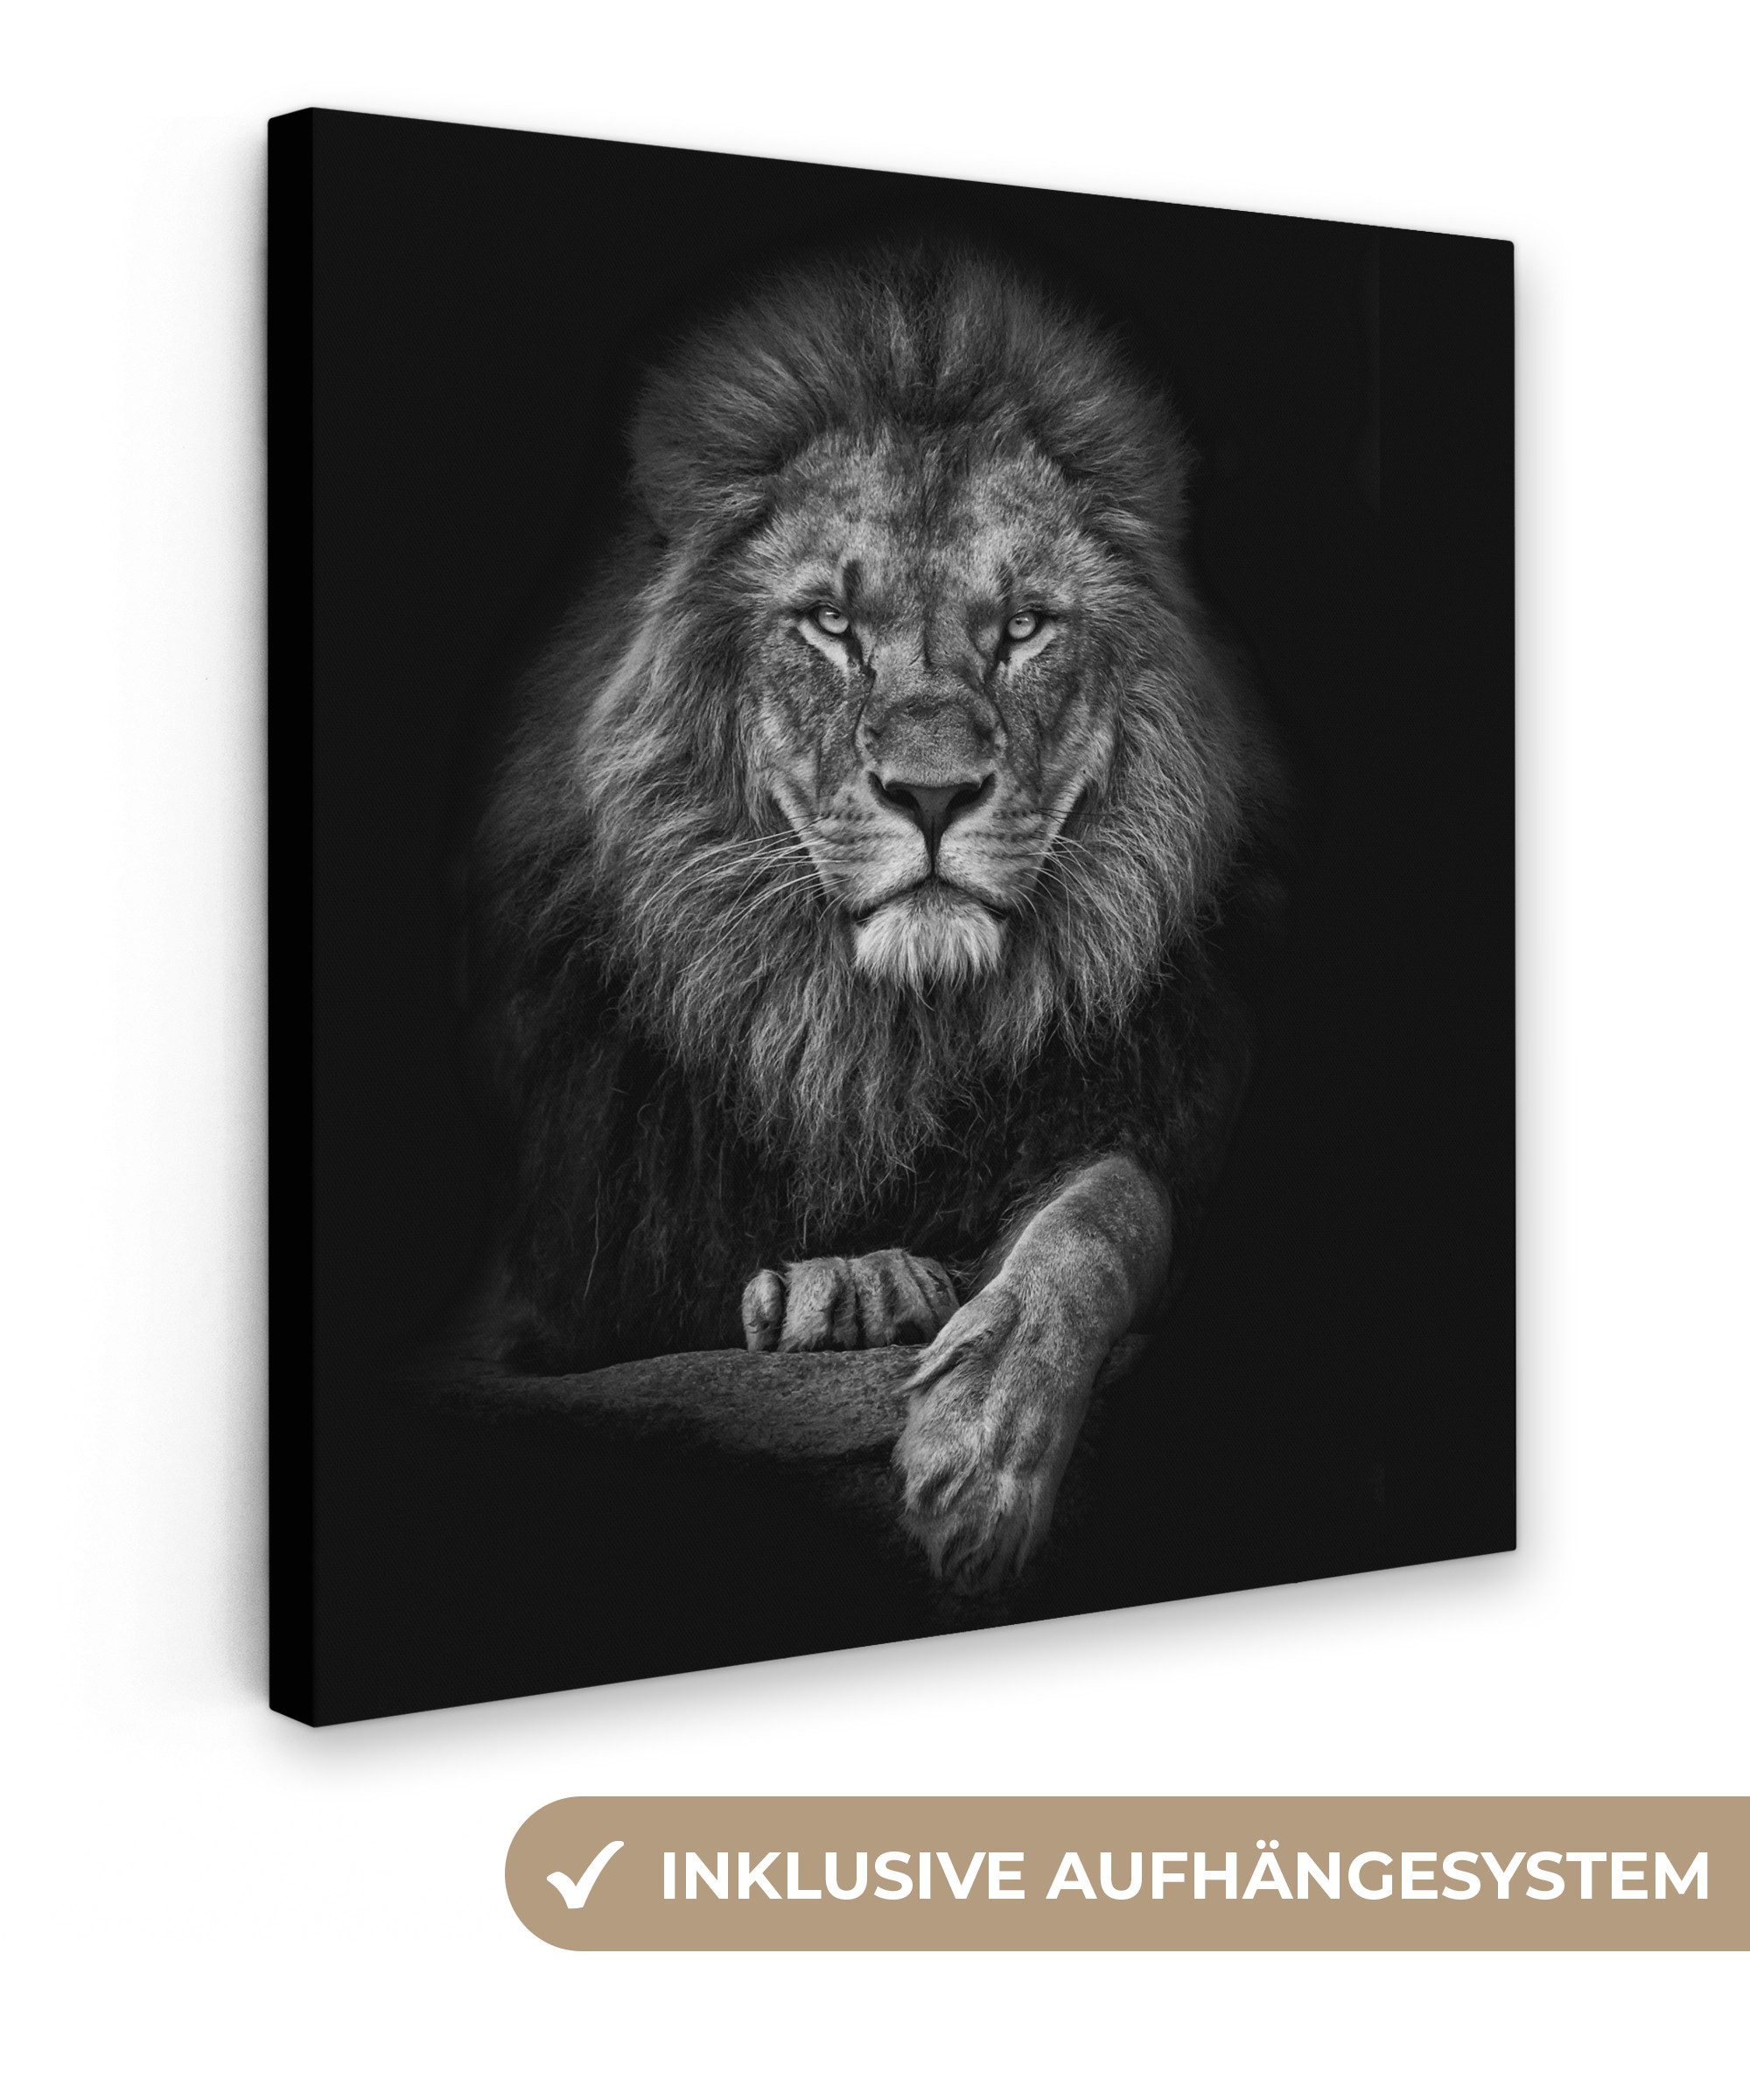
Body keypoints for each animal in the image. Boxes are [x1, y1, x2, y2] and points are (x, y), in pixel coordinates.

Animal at [459, 242, 1295, 1589]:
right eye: (831, 624)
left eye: (1023, 627)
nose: (935, 792)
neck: (874, 1039)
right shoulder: (550, 1290)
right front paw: (845, 1288)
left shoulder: (1154, 1115)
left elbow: (1106, 1212)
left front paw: (983, 1444)